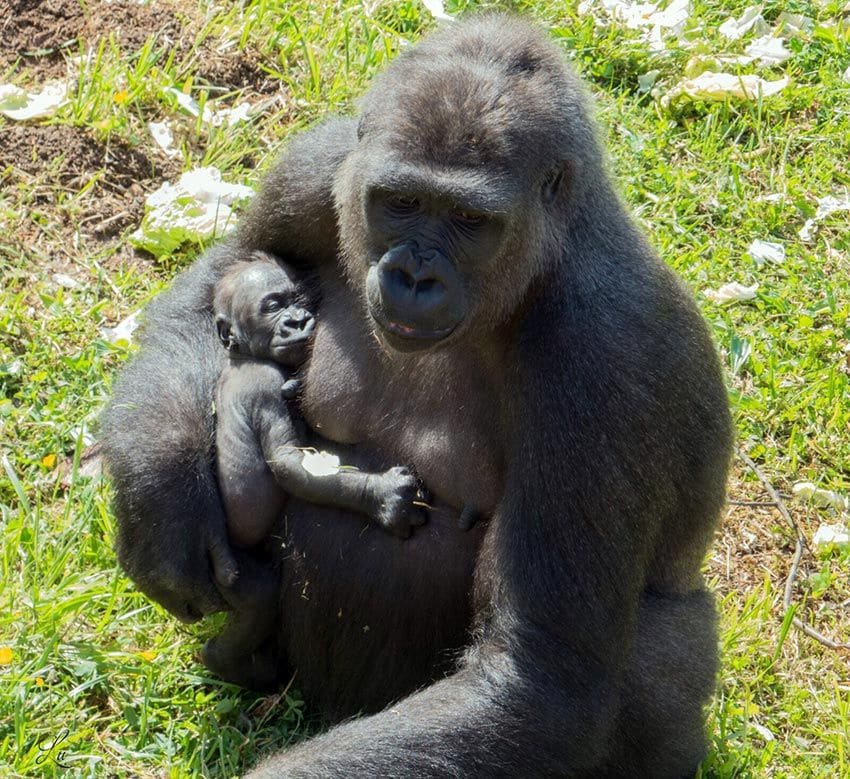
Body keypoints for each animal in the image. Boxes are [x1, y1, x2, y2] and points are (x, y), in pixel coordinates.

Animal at [200, 251, 424, 688]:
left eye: (300, 299)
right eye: (273, 305)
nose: (299, 321)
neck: (244, 356)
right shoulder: (266, 387)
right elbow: (291, 463)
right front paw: (382, 496)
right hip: (234, 570)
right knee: (259, 600)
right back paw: (227, 661)